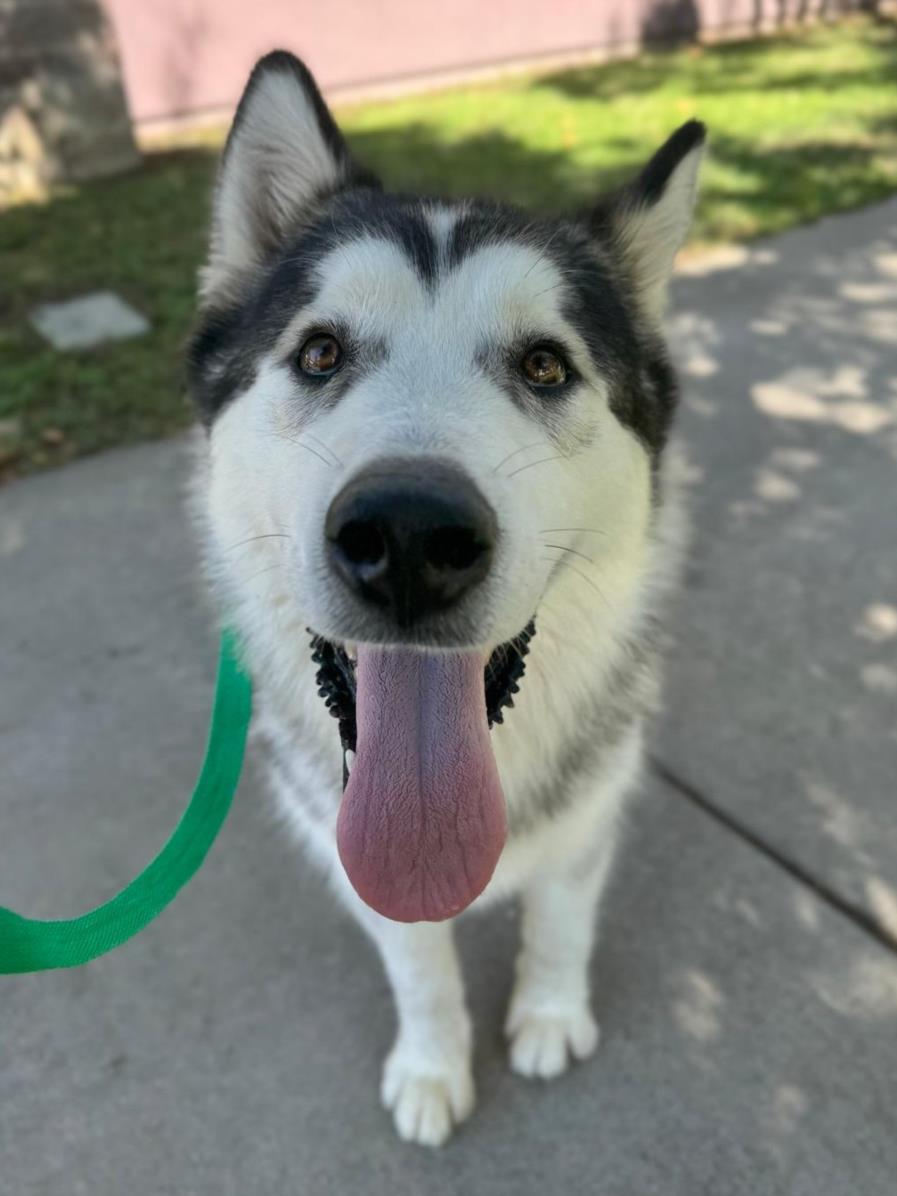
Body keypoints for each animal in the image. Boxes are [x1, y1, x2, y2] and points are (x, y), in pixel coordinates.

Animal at [190, 53, 708, 1148]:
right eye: (320, 352)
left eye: (545, 364)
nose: (410, 539)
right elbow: (420, 973)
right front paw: (432, 1068)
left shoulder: (588, 821)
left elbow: (561, 923)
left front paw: (549, 1014)